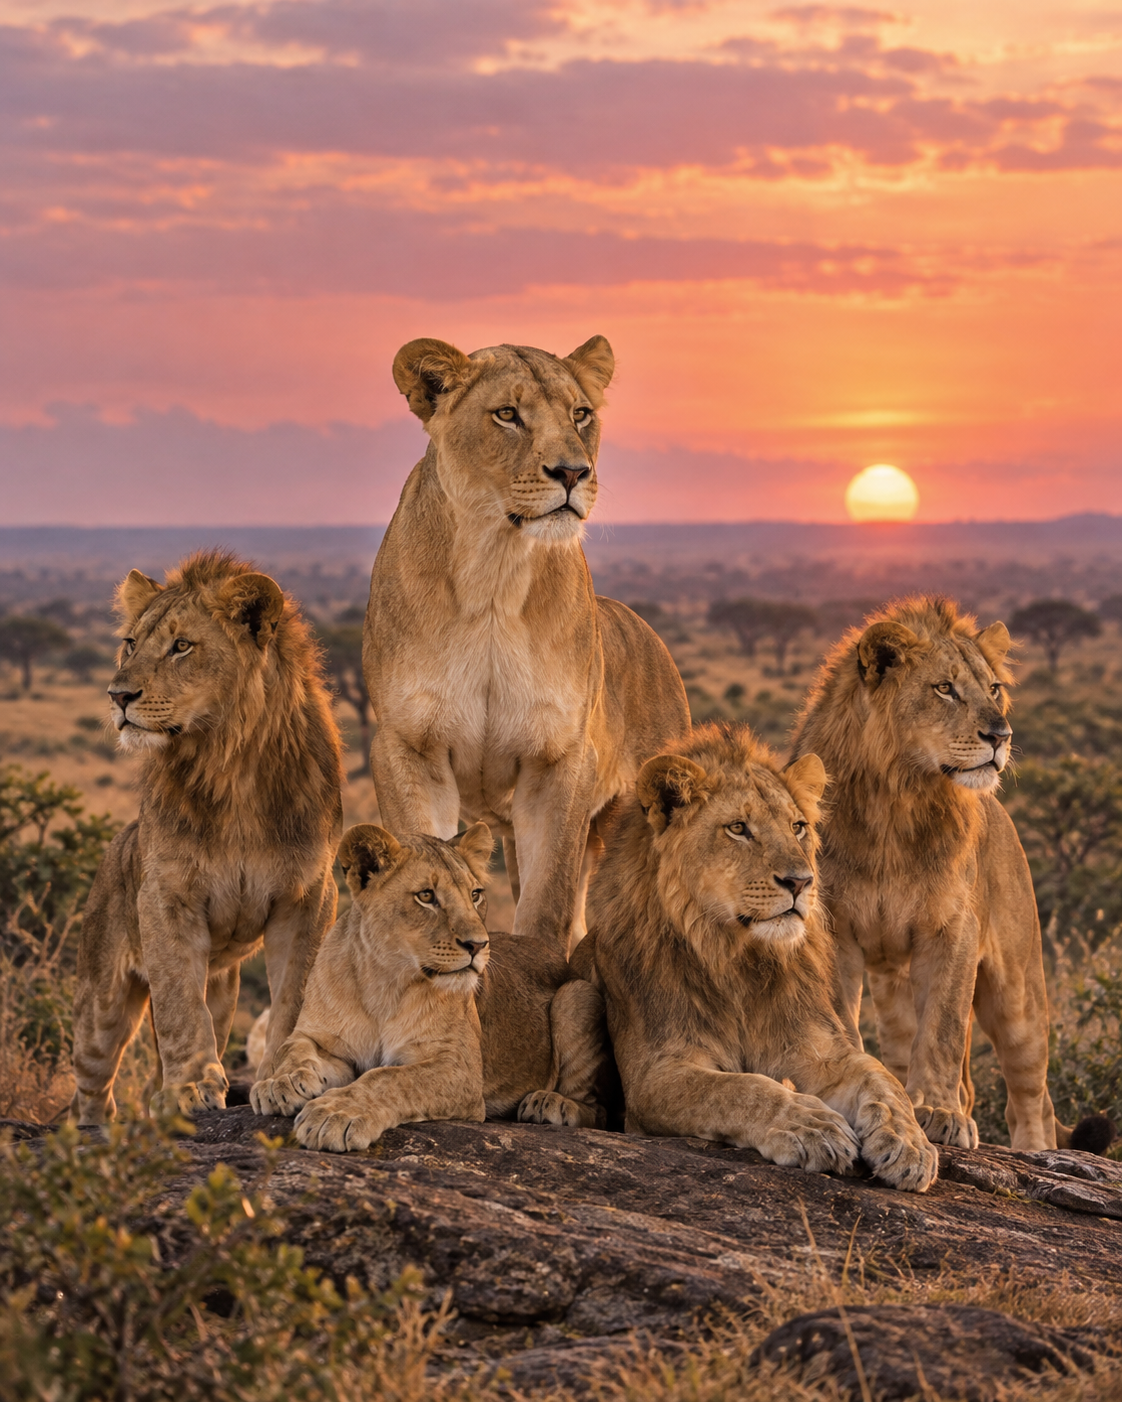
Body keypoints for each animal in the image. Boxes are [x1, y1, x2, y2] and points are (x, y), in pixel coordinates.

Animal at [70, 552, 343, 1124]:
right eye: (131, 643)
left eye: (181, 646)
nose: (117, 695)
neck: (228, 760)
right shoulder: (166, 896)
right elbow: (178, 1003)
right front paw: (189, 1088)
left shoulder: (308, 896)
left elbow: (297, 997)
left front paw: (283, 1080)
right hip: (99, 1005)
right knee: (92, 1086)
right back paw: (93, 1129)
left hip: (223, 984)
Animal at [251, 823, 609, 1151]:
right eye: (426, 896)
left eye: (475, 895)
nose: (478, 945)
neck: (384, 982)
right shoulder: (320, 1039)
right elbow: (292, 1049)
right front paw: (277, 1083)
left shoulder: (459, 1069)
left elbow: (389, 1078)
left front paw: (334, 1114)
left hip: (576, 996)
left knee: (598, 1110)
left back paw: (550, 1104)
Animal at [364, 336, 690, 954]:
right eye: (507, 415)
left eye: (580, 414)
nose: (573, 471)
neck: (495, 569)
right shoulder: (409, 749)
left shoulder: (559, 761)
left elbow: (548, 903)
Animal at [573, 725, 938, 1192]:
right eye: (738, 828)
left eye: (798, 827)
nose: (801, 882)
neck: (739, 962)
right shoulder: (654, 1077)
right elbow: (741, 1089)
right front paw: (810, 1126)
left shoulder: (821, 1050)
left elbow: (882, 1077)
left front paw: (909, 1143)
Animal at [789, 597, 1060, 1151]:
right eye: (944, 688)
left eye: (993, 688)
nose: (1001, 735)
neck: (900, 797)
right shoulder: (832, 928)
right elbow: (841, 1024)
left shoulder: (953, 929)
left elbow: (943, 1029)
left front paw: (938, 1111)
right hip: (894, 986)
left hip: (1019, 992)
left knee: (1031, 1095)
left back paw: (1034, 1151)